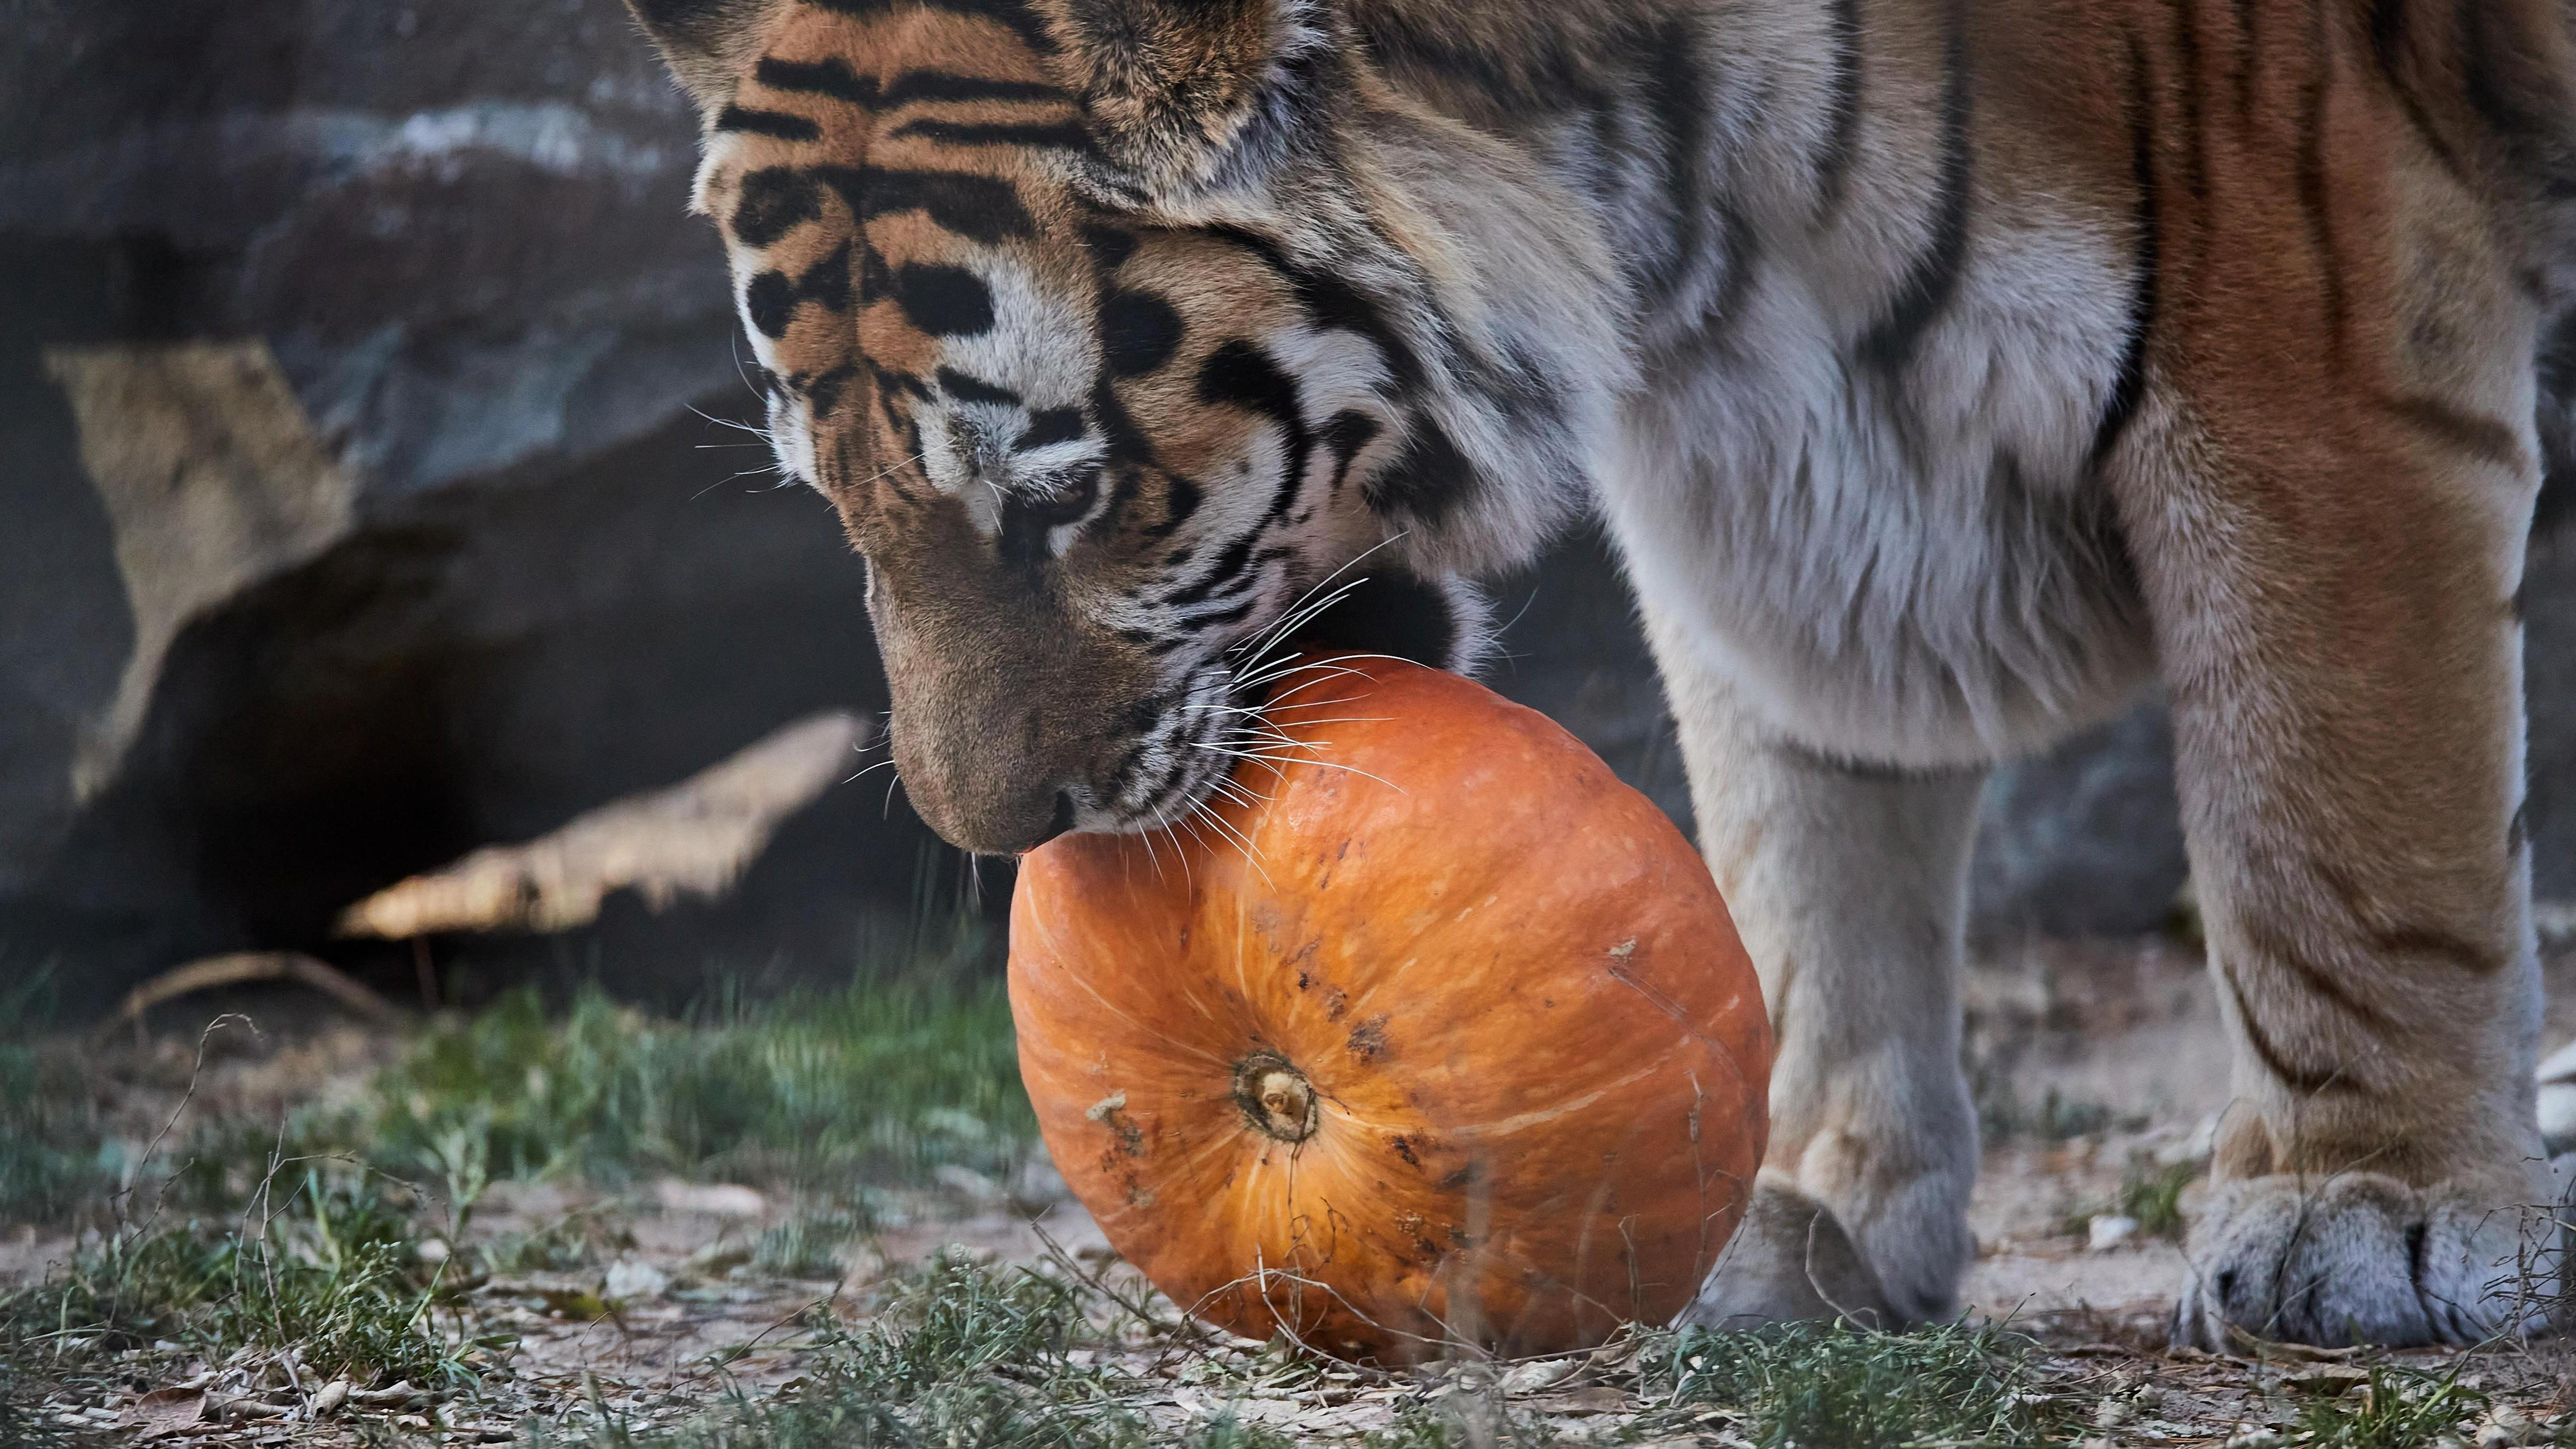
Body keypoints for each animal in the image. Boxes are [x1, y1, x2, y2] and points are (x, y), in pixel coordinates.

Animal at [618, 0, 2576, 1341]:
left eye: (1061, 492)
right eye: (836, 500)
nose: (993, 832)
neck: (1689, 175)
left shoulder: (2306, 340)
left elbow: (2336, 820)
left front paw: (2362, 1210)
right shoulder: (1778, 483)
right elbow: (1806, 851)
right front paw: (1799, 1211)